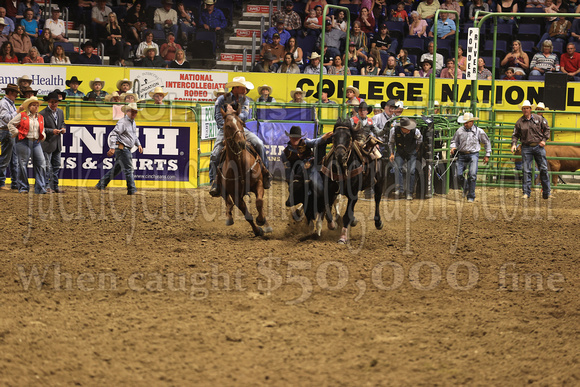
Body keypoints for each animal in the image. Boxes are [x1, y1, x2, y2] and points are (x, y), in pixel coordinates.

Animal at [216, 107, 274, 238]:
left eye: (241, 123)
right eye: (228, 126)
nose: (241, 142)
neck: (239, 165)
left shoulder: (258, 183)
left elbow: (259, 202)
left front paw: (262, 221)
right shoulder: (235, 195)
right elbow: (247, 215)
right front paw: (257, 230)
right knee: (226, 199)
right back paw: (229, 218)